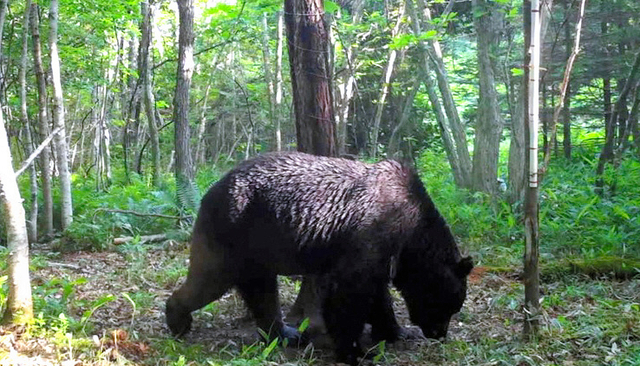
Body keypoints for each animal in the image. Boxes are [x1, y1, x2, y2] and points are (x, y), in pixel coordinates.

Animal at [168, 151, 472, 364]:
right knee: (210, 279)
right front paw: (355, 351)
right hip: (233, 231)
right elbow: (350, 293)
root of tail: (210, 189)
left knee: (261, 292)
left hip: (257, 248)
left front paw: (396, 331)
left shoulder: (382, 254)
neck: (411, 234)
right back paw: (177, 319)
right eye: (449, 306)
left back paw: (285, 333)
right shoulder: (372, 233)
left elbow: (376, 294)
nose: (438, 333)